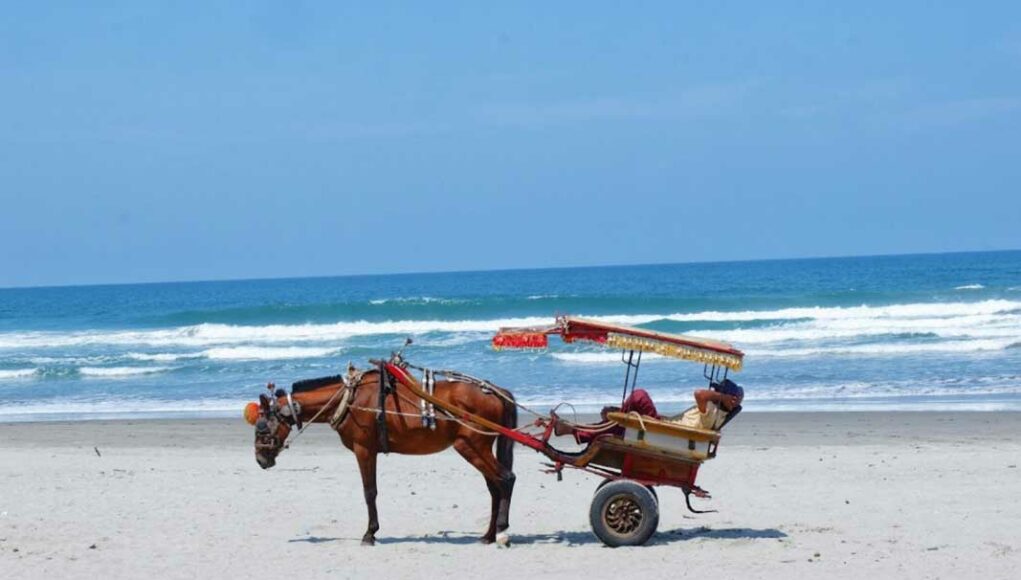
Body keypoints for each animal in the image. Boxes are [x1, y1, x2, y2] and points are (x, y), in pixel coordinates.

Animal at [246, 365, 518, 547]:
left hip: (470, 446)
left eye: (261, 427)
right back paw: (488, 535)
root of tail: (496, 390)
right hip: (475, 448)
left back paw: (502, 532)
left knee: (506, 479)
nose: (260, 460)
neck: (349, 400)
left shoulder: (364, 449)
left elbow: (369, 492)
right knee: (495, 487)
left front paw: (370, 533)